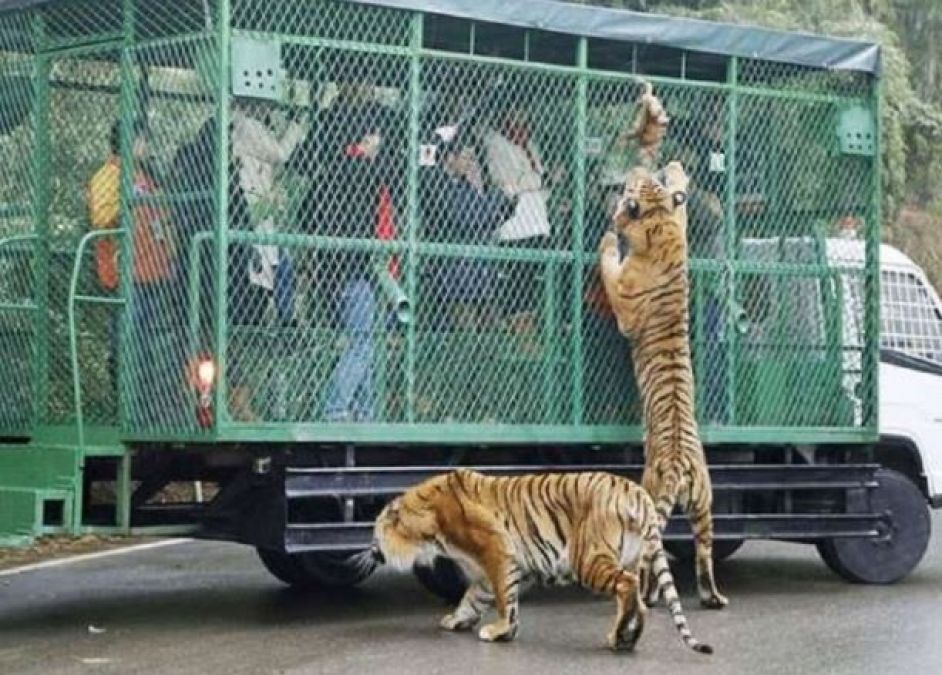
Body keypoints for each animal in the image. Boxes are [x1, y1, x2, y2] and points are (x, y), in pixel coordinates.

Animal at [372, 470, 712, 656]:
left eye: (376, 534)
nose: (373, 551)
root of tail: (638, 492)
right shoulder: (497, 570)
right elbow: (475, 597)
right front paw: (457, 620)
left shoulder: (497, 551)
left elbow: (503, 598)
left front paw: (500, 631)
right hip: (628, 558)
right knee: (638, 598)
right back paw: (625, 637)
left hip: (587, 558)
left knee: (626, 587)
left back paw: (620, 638)